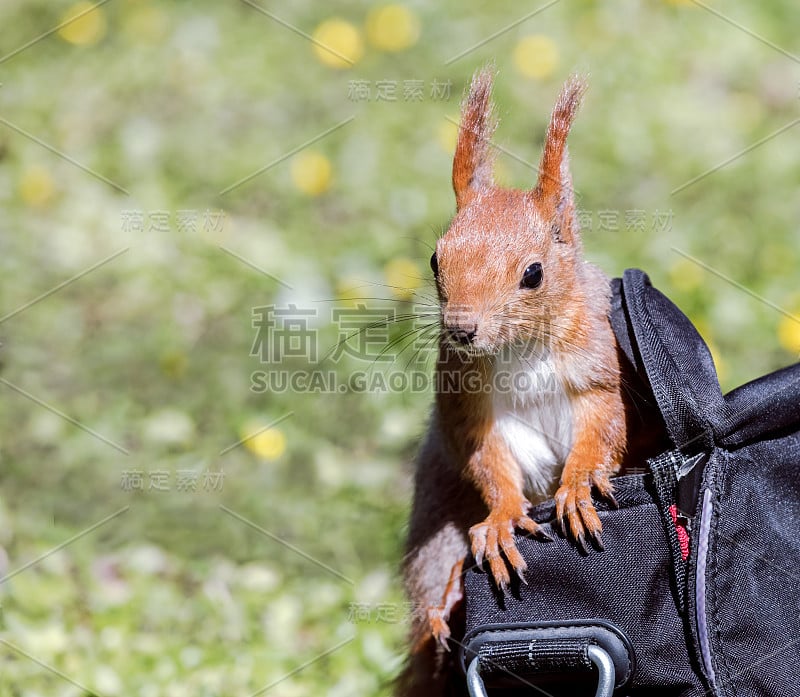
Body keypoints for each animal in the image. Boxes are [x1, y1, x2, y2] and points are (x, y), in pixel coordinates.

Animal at [396, 68, 632, 692]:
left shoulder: (599, 367)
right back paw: (448, 598)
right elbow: (489, 461)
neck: (520, 347)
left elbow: (604, 426)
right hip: (438, 518)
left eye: (534, 273)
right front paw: (502, 518)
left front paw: (578, 485)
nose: (461, 330)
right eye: (436, 260)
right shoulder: (467, 400)